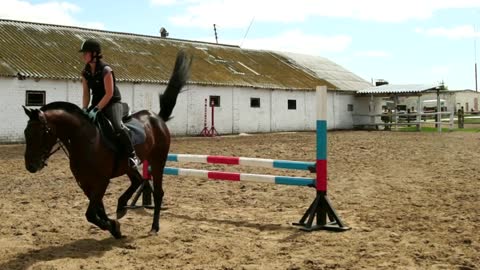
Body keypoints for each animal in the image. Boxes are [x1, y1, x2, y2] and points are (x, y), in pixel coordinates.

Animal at [22, 50, 191, 238]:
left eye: (42, 133)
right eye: (26, 133)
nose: (30, 166)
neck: (84, 140)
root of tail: (158, 118)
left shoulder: (101, 182)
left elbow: (90, 213)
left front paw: (113, 227)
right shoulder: (85, 183)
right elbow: (97, 211)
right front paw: (114, 227)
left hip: (157, 161)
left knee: (158, 192)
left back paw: (154, 226)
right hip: (128, 166)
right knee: (138, 180)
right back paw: (121, 205)